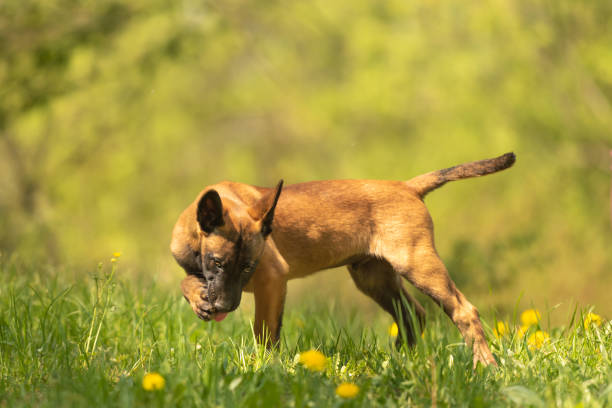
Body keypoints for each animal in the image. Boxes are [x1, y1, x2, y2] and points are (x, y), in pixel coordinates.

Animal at [169, 152, 516, 366]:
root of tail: (407, 187)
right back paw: (400, 362)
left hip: (418, 265)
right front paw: (197, 297)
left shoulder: (272, 280)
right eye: (216, 262)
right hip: (374, 278)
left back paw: (486, 366)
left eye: (247, 267)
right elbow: (186, 281)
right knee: (412, 314)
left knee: (464, 311)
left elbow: (265, 333)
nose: (223, 308)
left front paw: (265, 368)